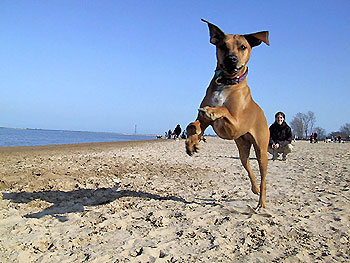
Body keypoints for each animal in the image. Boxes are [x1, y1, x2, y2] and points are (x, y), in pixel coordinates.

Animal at [186, 19, 270, 210]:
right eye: (223, 46)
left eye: (243, 46)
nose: (231, 59)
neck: (226, 82)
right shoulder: (203, 121)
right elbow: (192, 125)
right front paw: (192, 143)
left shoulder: (235, 124)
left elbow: (223, 110)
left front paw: (212, 110)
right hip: (243, 150)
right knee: (249, 168)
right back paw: (254, 188)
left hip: (261, 151)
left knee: (263, 178)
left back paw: (261, 202)